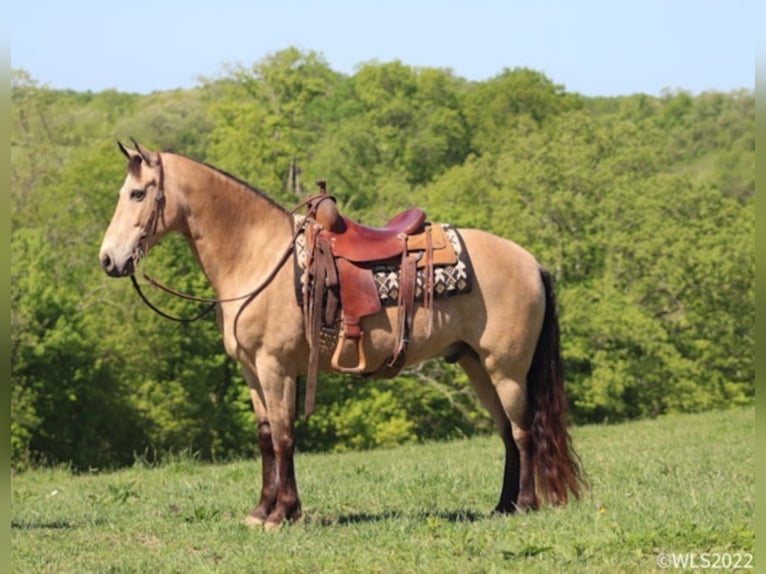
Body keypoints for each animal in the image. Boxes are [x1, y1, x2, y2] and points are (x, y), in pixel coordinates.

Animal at [99, 141, 584, 532]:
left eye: (138, 194)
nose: (108, 259)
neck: (257, 257)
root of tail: (532, 262)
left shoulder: (276, 368)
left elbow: (284, 437)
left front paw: (282, 514)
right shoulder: (253, 372)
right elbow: (265, 437)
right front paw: (263, 511)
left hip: (507, 370)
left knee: (523, 431)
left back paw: (524, 504)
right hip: (475, 365)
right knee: (505, 432)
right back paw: (501, 506)